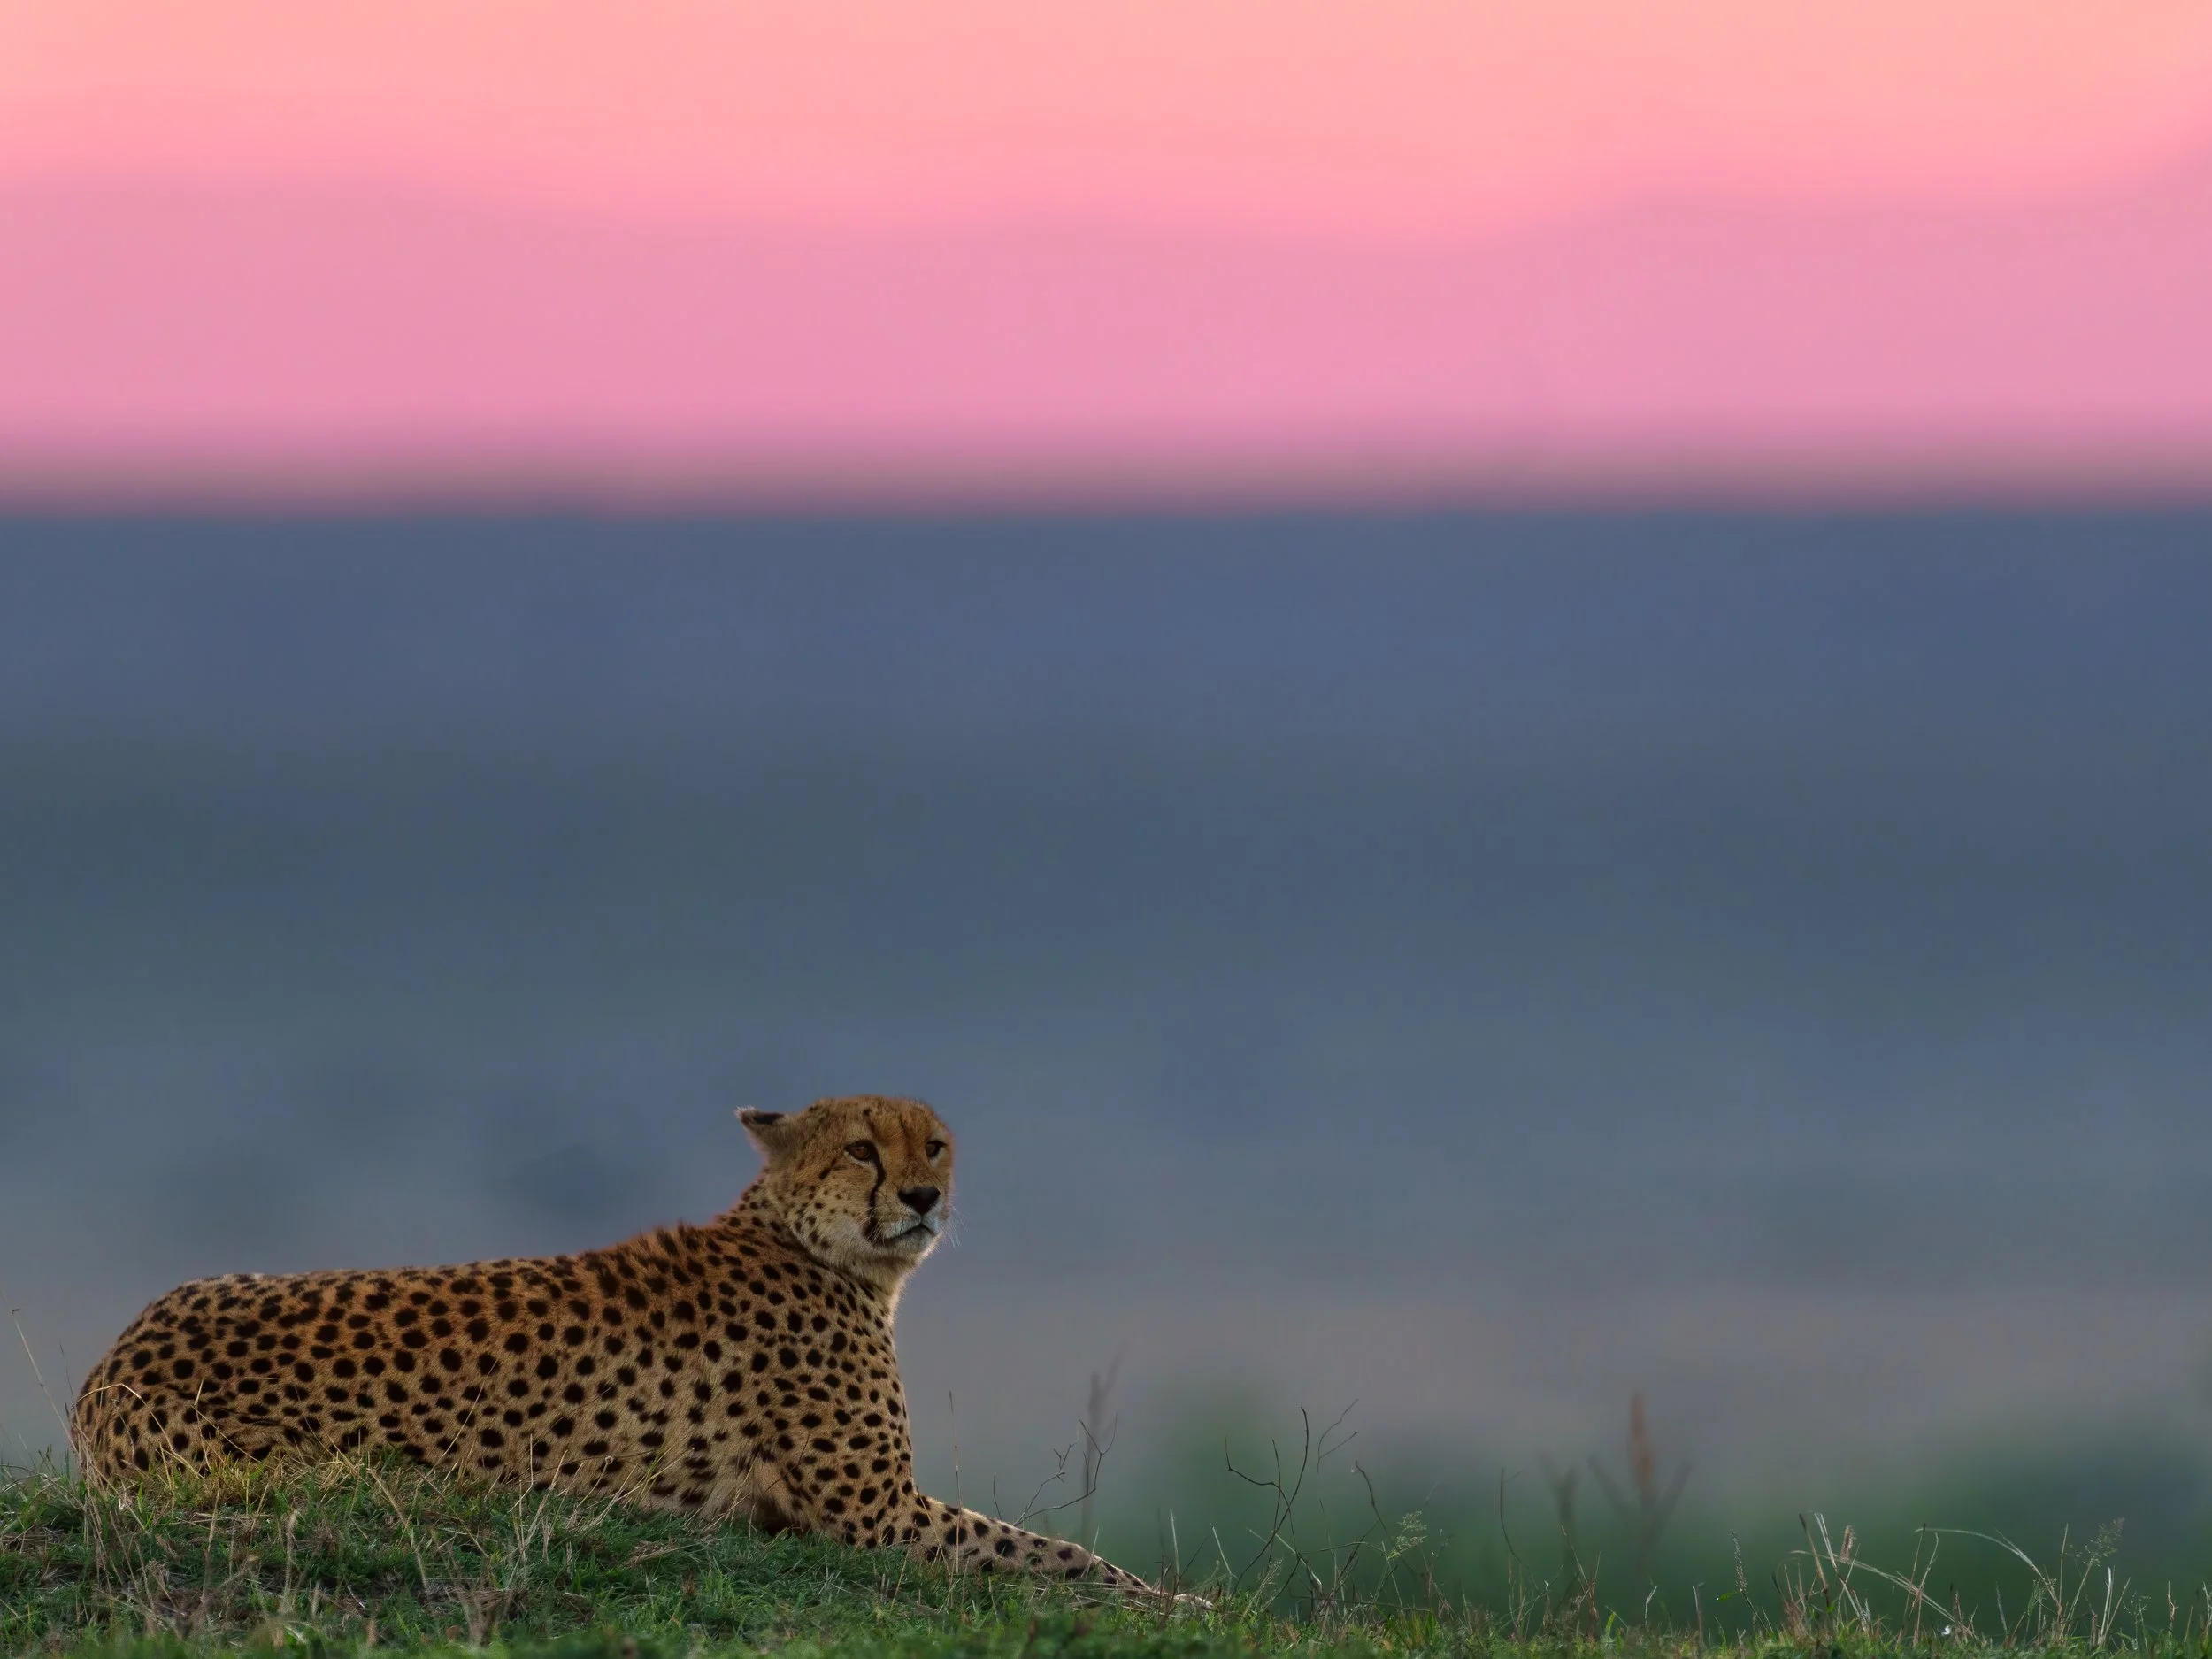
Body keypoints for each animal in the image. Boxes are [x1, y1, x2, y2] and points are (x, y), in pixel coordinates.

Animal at [72, 1094, 1160, 1594]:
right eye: (862, 1148)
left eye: (933, 1143)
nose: (926, 1195)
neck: (806, 1240)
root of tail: (112, 1363)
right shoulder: (875, 1517)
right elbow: (1058, 1553)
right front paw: (1170, 1601)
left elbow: (1050, 1550)